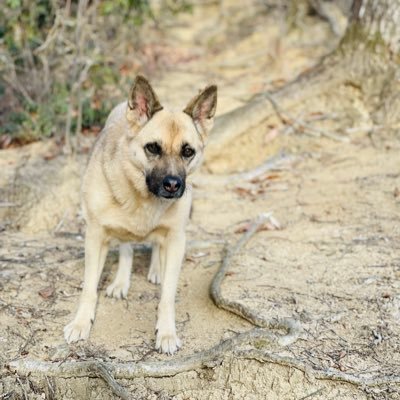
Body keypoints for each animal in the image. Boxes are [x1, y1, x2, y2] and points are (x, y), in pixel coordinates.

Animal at [63, 74, 217, 354]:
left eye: (188, 151)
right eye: (153, 148)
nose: (173, 185)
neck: (141, 195)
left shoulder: (176, 239)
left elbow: (167, 296)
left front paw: (166, 332)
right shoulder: (95, 237)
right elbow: (89, 288)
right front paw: (81, 323)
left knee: (155, 245)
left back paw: (156, 268)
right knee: (126, 247)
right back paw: (122, 281)